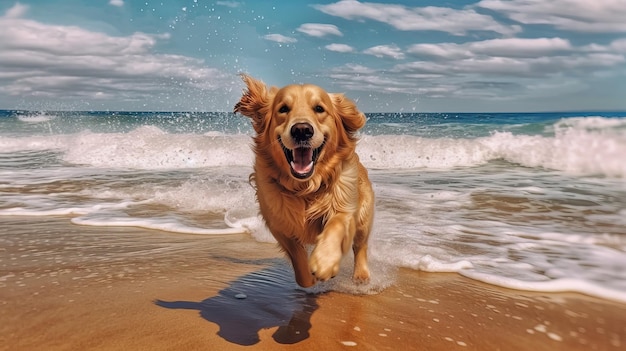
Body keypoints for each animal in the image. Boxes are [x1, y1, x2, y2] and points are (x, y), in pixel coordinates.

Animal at [233, 75, 370, 288]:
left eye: (319, 108)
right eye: (283, 109)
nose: (302, 130)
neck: (306, 187)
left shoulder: (346, 208)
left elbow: (337, 224)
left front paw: (325, 262)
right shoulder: (278, 223)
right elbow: (297, 255)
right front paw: (308, 276)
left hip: (364, 216)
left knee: (360, 246)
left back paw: (361, 276)